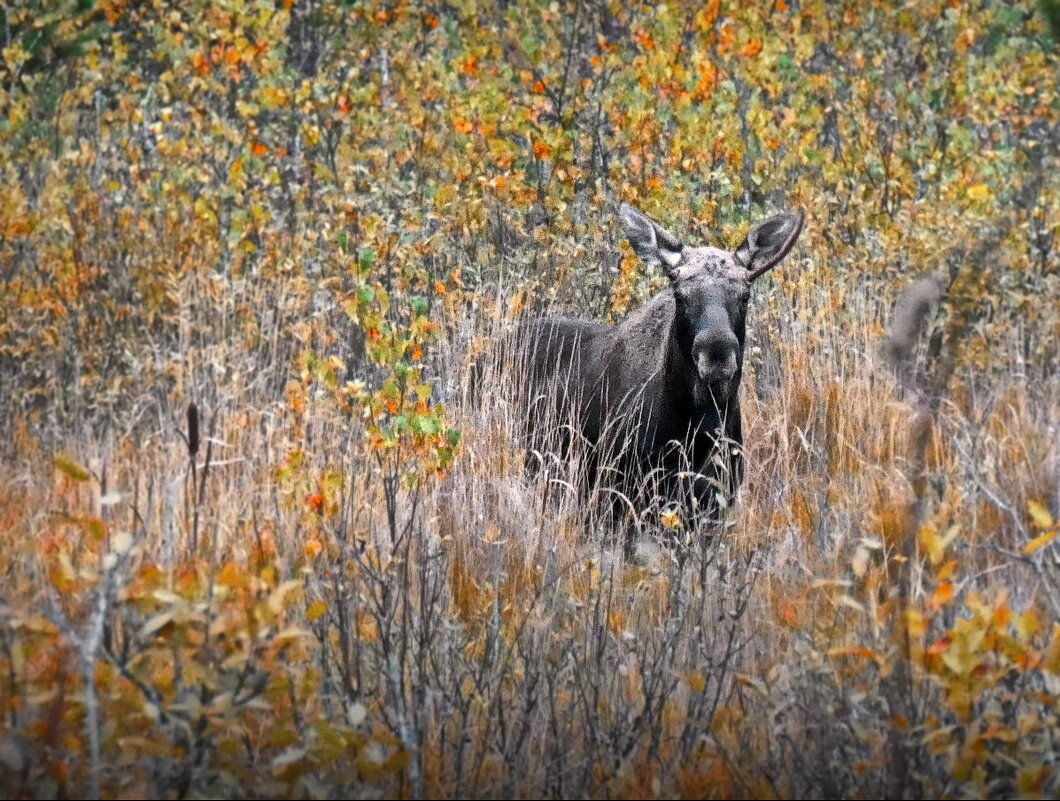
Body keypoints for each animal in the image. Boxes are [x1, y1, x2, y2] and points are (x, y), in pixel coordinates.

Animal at [513, 203, 801, 534]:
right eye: (679, 295)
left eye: (745, 295)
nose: (716, 354)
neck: (696, 428)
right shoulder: (616, 494)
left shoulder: (715, 502)